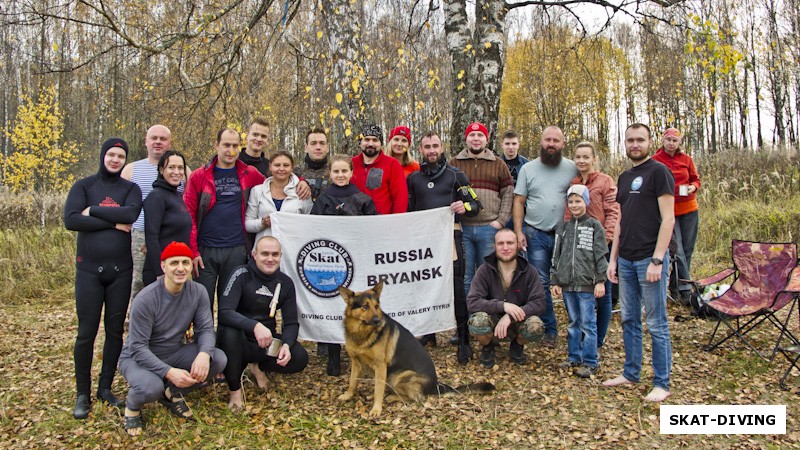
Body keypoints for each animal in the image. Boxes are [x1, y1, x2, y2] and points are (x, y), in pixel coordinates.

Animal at [336, 284, 494, 416]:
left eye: (376, 306)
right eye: (365, 307)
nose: (377, 320)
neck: (361, 333)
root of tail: (435, 385)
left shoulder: (381, 366)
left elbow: (378, 390)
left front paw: (376, 409)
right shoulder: (356, 362)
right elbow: (352, 382)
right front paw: (348, 395)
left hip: (400, 376)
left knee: (417, 398)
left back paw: (393, 397)